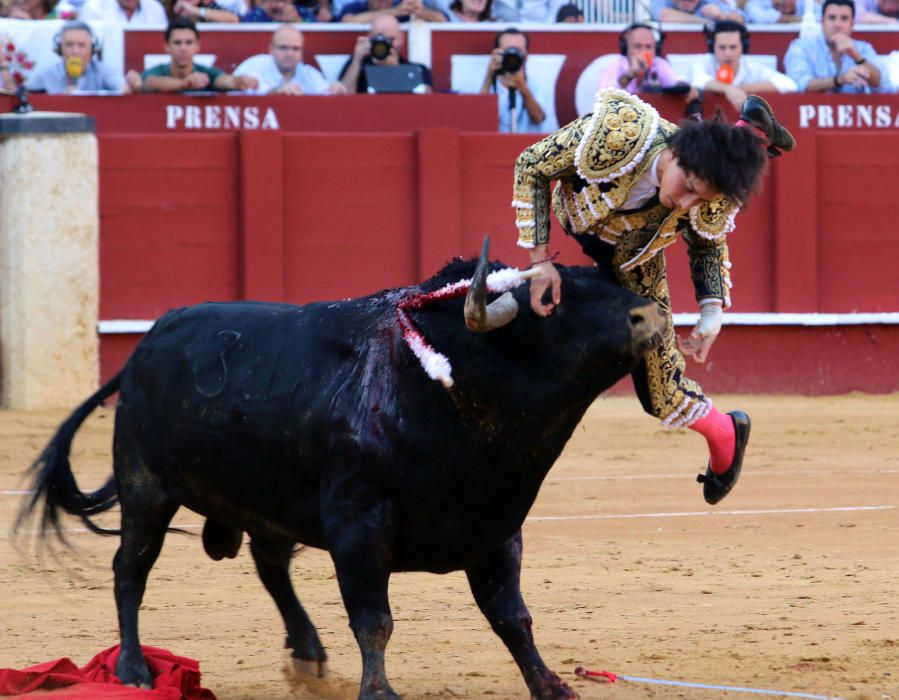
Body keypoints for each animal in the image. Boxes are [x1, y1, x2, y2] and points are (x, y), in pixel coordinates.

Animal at [15, 252, 660, 700]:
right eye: (557, 302)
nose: (650, 312)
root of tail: (146, 343)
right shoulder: (359, 520)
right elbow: (374, 618)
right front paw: (379, 690)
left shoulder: (497, 526)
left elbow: (513, 617)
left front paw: (551, 684)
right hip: (145, 486)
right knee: (131, 569)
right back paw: (133, 668)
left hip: (263, 500)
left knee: (269, 564)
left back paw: (306, 652)